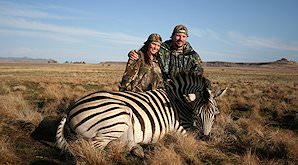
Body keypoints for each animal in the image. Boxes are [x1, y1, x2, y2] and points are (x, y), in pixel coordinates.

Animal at [55, 71, 226, 155]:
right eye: (197, 115)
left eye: (215, 114)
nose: (205, 137)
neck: (179, 102)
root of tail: (71, 109)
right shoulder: (180, 129)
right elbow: (193, 137)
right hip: (119, 116)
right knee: (94, 148)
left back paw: (135, 148)